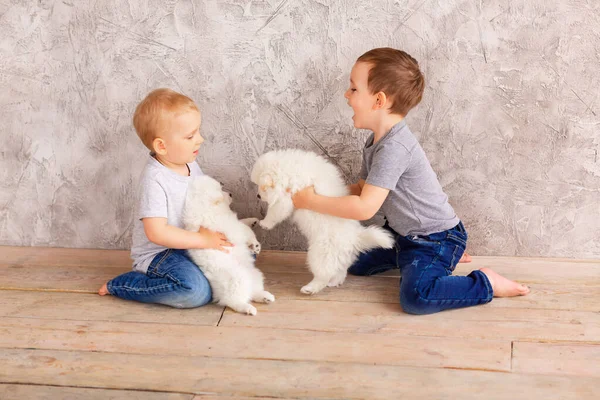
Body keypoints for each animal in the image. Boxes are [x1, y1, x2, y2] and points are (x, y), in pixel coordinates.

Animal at [184, 175, 276, 316]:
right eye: (221, 190)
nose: (231, 194)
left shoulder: (234, 223)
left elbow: (243, 222)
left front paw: (253, 222)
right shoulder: (232, 227)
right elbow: (246, 229)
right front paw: (255, 243)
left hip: (254, 275)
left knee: (253, 291)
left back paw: (265, 297)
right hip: (238, 278)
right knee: (231, 300)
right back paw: (247, 308)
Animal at [251, 148, 396, 296]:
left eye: (261, 187)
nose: (257, 195)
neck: (289, 170)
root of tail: (355, 239)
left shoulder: (286, 198)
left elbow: (275, 212)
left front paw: (265, 223)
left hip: (321, 254)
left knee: (323, 275)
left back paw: (310, 288)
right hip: (339, 256)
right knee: (340, 271)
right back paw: (334, 282)